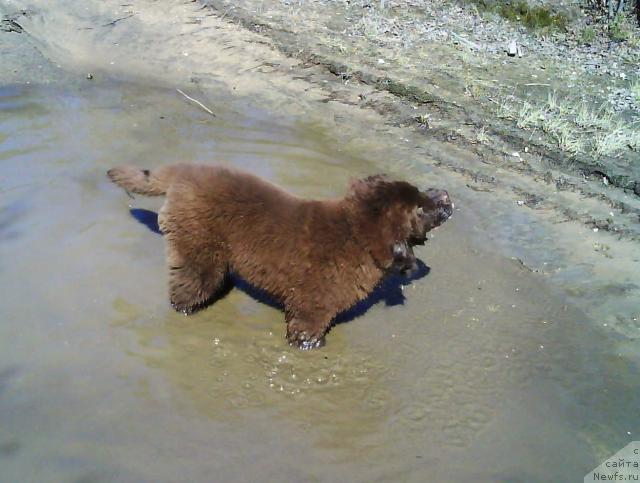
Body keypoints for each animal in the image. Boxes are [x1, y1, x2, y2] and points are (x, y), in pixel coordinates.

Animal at [107, 164, 452, 348]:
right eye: (421, 208)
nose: (447, 195)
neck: (356, 233)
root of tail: (180, 171)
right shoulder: (314, 303)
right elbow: (306, 327)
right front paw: (310, 346)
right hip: (198, 250)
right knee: (188, 285)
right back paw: (187, 310)